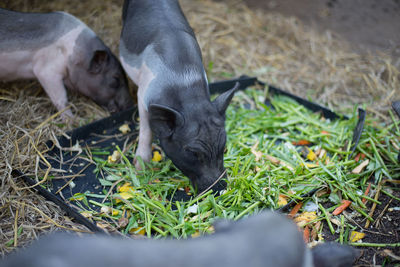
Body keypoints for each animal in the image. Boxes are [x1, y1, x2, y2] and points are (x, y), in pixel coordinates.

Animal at [0, 8, 133, 118]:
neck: (74, 54)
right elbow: (61, 99)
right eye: (115, 80)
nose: (130, 105)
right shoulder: (46, 70)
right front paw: (73, 121)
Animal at [119, 0, 238, 193]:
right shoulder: (143, 94)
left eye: (224, 147)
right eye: (193, 153)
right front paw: (140, 168)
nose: (219, 188)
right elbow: (146, 128)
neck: (184, 84)